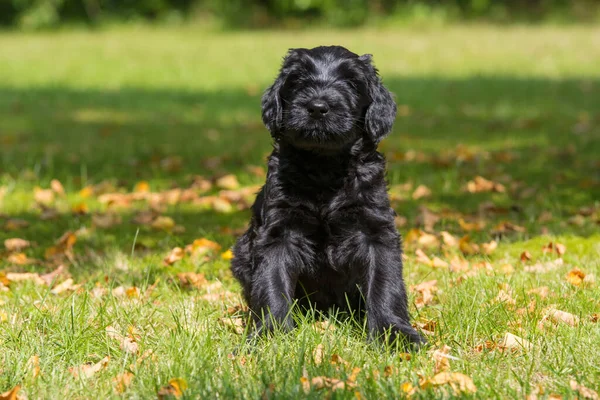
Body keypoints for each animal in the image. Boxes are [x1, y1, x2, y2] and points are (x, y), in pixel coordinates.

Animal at [232, 46, 424, 346]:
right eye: (298, 80)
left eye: (352, 82)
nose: (317, 107)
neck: (325, 168)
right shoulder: (277, 232)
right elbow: (271, 282)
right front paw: (271, 335)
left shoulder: (375, 230)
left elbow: (385, 284)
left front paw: (394, 334)